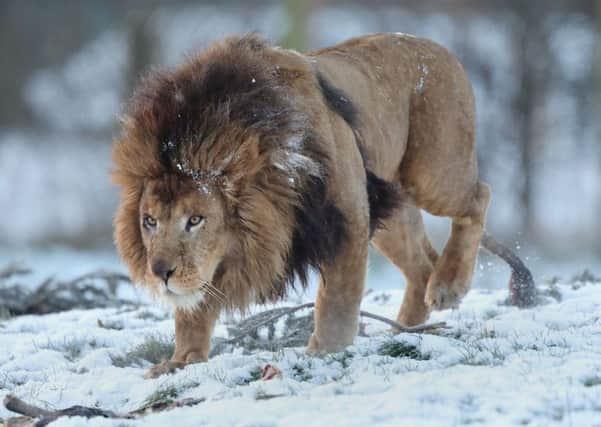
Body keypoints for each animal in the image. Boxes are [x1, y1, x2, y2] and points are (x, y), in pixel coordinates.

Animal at [112, 35, 536, 380]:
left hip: (432, 174)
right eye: (149, 221)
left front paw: (324, 353)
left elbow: (336, 301)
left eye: (196, 220)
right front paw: (181, 360)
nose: (160, 272)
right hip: (390, 210)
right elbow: (192, 312)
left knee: (479, 197)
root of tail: (442, 50)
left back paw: (448, 287)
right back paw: (406, 330)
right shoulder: (209, 266)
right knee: (421, 267)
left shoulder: (348, 220)